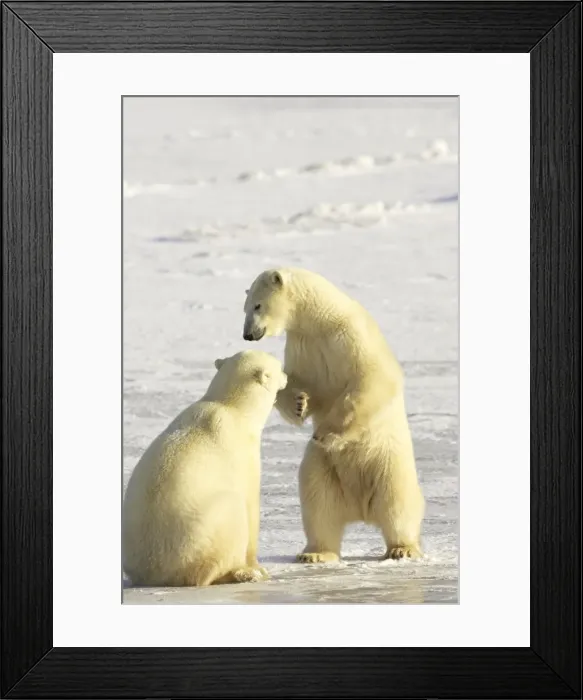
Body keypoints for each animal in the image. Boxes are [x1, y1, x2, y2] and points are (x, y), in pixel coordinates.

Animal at [122, 350, 287, 587]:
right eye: (280, 367)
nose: (288, 377)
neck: (229, 407)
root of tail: (154, 574)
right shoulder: (243, 453)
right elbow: (250, 504)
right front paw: (257, 568)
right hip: (199, 534)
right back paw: (240, 573)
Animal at [243, 267, 425, 562]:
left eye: (257, 305)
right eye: (245, 307)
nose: (248, 334)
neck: (322, 320)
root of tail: (361, 509)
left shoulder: (351, 336)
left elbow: (372, 379)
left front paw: (326, 432)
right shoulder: (303, 345)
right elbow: (292, 380)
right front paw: (298, 403)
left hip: (389, 461)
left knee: (398, 502)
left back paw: (402, 548)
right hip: (322, 466)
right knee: (318, 503)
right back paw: (315, 553)